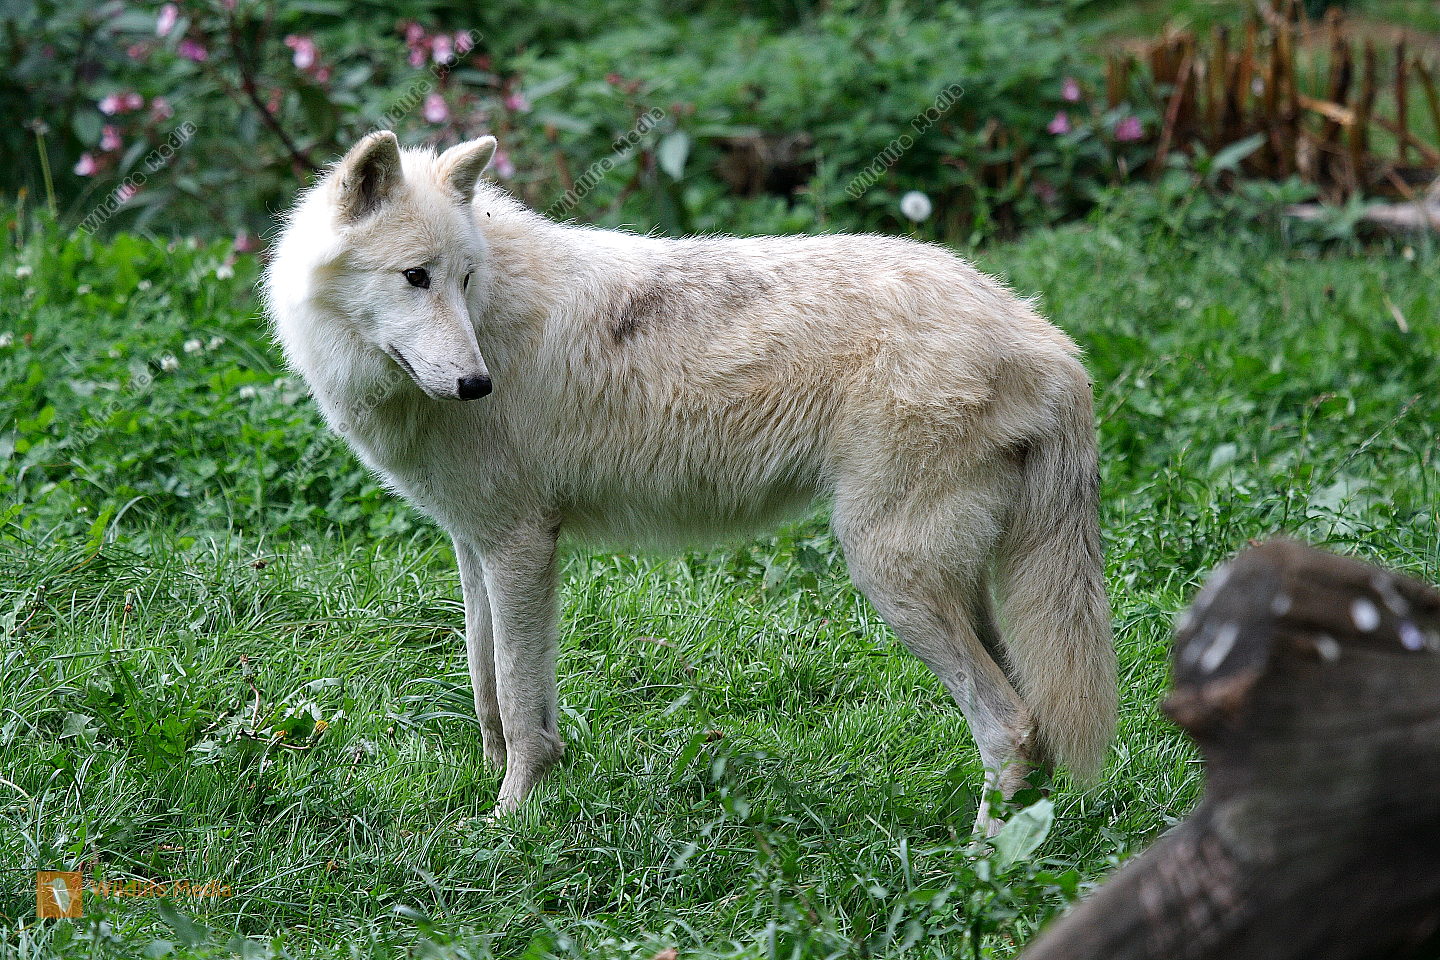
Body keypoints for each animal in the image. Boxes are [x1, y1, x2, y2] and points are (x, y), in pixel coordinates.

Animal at [265, 131, 1116, 834]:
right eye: (416, 278)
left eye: (463, 279)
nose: (476, 385)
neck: (493, 319)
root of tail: (1048, 340)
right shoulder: (477, 545)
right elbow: (487, 691)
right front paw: (492, 788)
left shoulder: (520, 547)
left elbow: (517, 699)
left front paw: (509, 821)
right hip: (955, 583)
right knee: (1035, 720)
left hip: (889, 576)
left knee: (1011, 725)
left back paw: (982, 864)